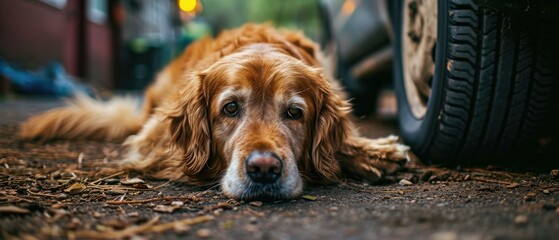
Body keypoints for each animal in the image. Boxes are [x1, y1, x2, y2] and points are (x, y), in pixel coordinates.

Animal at [19, 23, 410, 201]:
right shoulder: (151, 142)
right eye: (230, 108)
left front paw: (372, 152)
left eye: (295, 113)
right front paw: (373, 154)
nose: (264, 169)